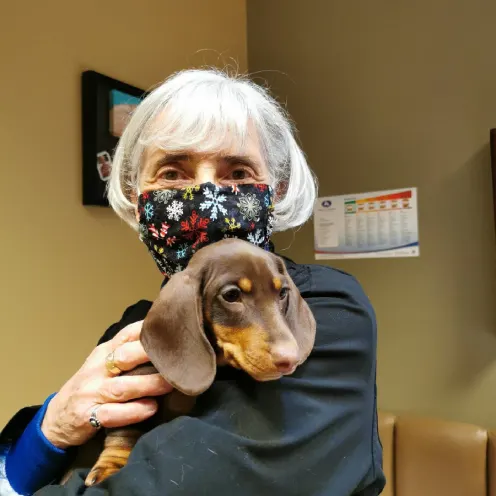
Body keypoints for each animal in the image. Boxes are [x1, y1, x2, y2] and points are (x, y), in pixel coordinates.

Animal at [83, 238, 316, 486]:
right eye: (231, 295)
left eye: (282, 293)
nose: (290, 359)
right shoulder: (134, 378)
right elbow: (124, 431)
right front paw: (110, 466)